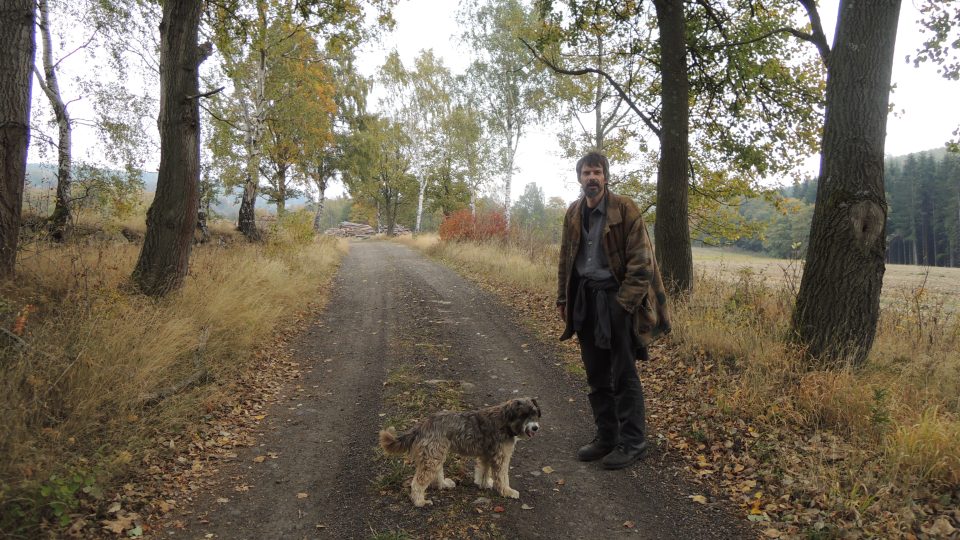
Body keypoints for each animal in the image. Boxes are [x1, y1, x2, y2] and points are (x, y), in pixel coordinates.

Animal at [378, 396, 540, 506]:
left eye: (534, 413)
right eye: (524, 415)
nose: (535, 428)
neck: (505, 420)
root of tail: (423, 425)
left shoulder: (486, 455)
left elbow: (483, 471)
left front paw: (484, 483)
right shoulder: (501, 457)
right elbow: (502, 476)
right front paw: (507, 491)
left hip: (435, 454)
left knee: (436, 475)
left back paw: (443, 484)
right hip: (432, 456)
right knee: (418, 482)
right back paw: (419, 501)